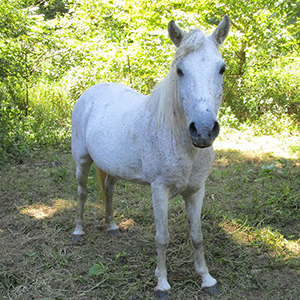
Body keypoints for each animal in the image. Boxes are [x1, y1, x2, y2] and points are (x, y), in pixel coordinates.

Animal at [71, 17, 231, 300]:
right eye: (180, 70)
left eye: (221, 69)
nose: (203, 130)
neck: (180, 141)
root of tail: (92, 91)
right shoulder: (159, 191)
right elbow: (162, 238)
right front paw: (162, 284)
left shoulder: (196, 191)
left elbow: (197, 236)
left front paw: (207, 279)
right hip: (82, 161)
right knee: (82, 192)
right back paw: (78, 231)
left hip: (111, 167)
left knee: (108, 190)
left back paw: (112, 227)